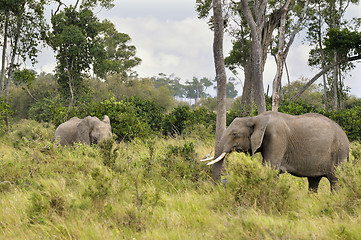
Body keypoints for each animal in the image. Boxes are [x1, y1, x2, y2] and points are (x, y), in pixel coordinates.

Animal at [200, 111, 348, 192]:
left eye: (234, 134)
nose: (220, 185)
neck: (256, 118)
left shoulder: (276, 138)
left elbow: (270, 168)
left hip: (339, 152)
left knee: (335, 180)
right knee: (313, 181)